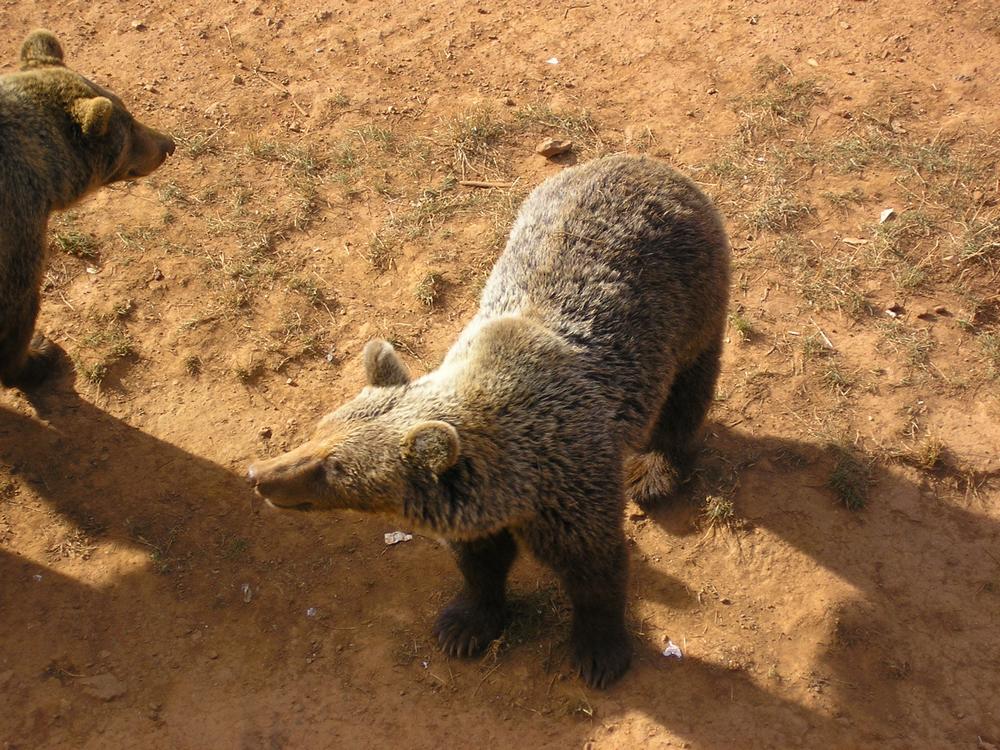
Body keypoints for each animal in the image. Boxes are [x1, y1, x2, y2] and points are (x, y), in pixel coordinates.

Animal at [0, 29, 175, 390]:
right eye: (129, 128)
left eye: (129, 113)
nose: (168, 144)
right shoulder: (16, 224)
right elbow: (18, 307)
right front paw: (37, 354)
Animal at [246, 156, 732, 692]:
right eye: (318, 431)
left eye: (331, 468)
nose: (259, 476)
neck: (518, 477)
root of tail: (647, 164)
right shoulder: (478, 504)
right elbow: (480, 563)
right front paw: (465, 625)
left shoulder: (572, 479)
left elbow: (594, 567)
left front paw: (599, 651)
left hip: (694, 305)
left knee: (688, 391)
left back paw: (656, 470)